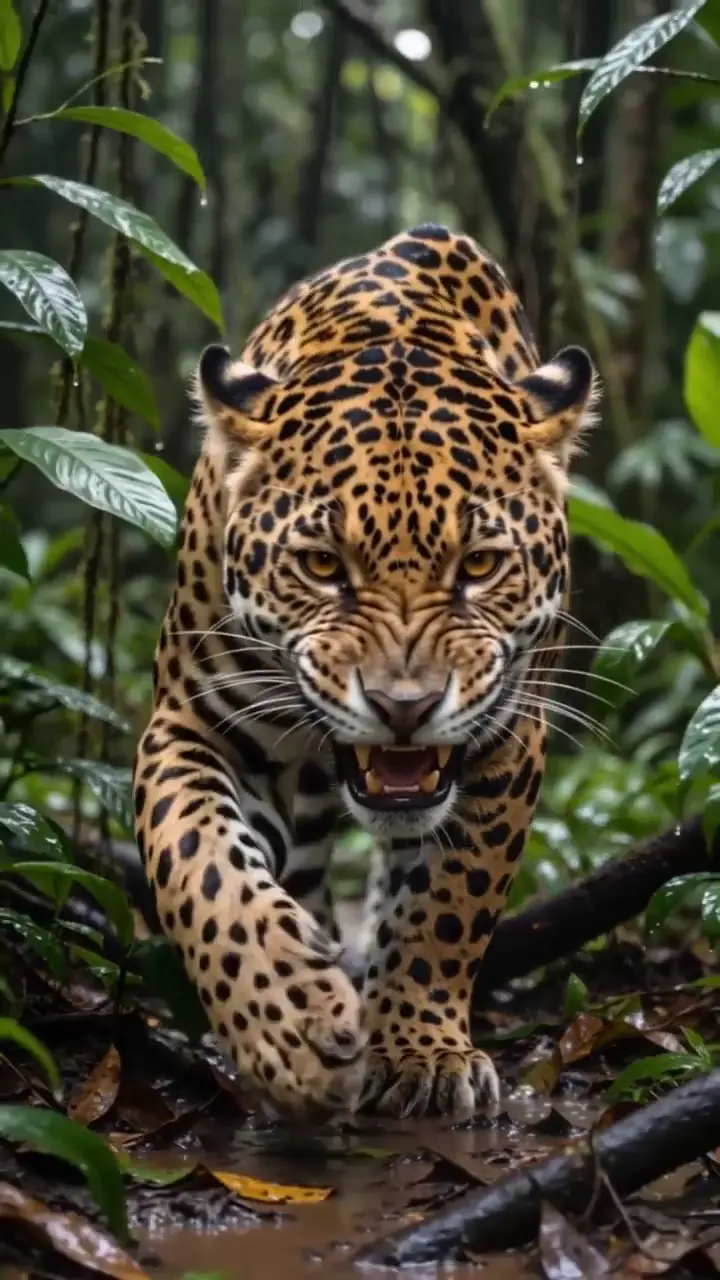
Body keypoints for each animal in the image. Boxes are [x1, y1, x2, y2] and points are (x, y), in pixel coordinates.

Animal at [132, 223, 599, 1121]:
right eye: (321, 564)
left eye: (480, 564)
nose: (403, 706)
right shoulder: (189, 721)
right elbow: (200, 861)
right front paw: (286, 1021)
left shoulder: (510, 740)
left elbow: (450, 902)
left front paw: (419, 1047)